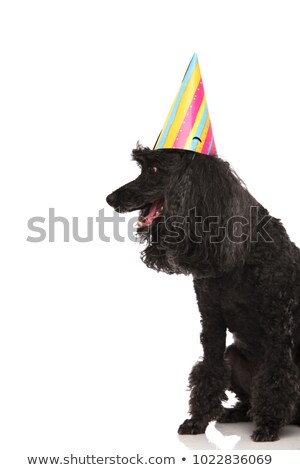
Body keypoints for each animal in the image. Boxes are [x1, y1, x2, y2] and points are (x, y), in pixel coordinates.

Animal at [105, 146, 300, 440]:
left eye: (154, 169)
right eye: (141, 168)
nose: (110, 198)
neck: (242, 253)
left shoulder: (278, 326)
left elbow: (275, 378)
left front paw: (268, 425)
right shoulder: (211, 322)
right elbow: (209, 371)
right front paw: (197, 421)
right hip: (233, 355)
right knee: (247, 396)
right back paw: (237, 413)